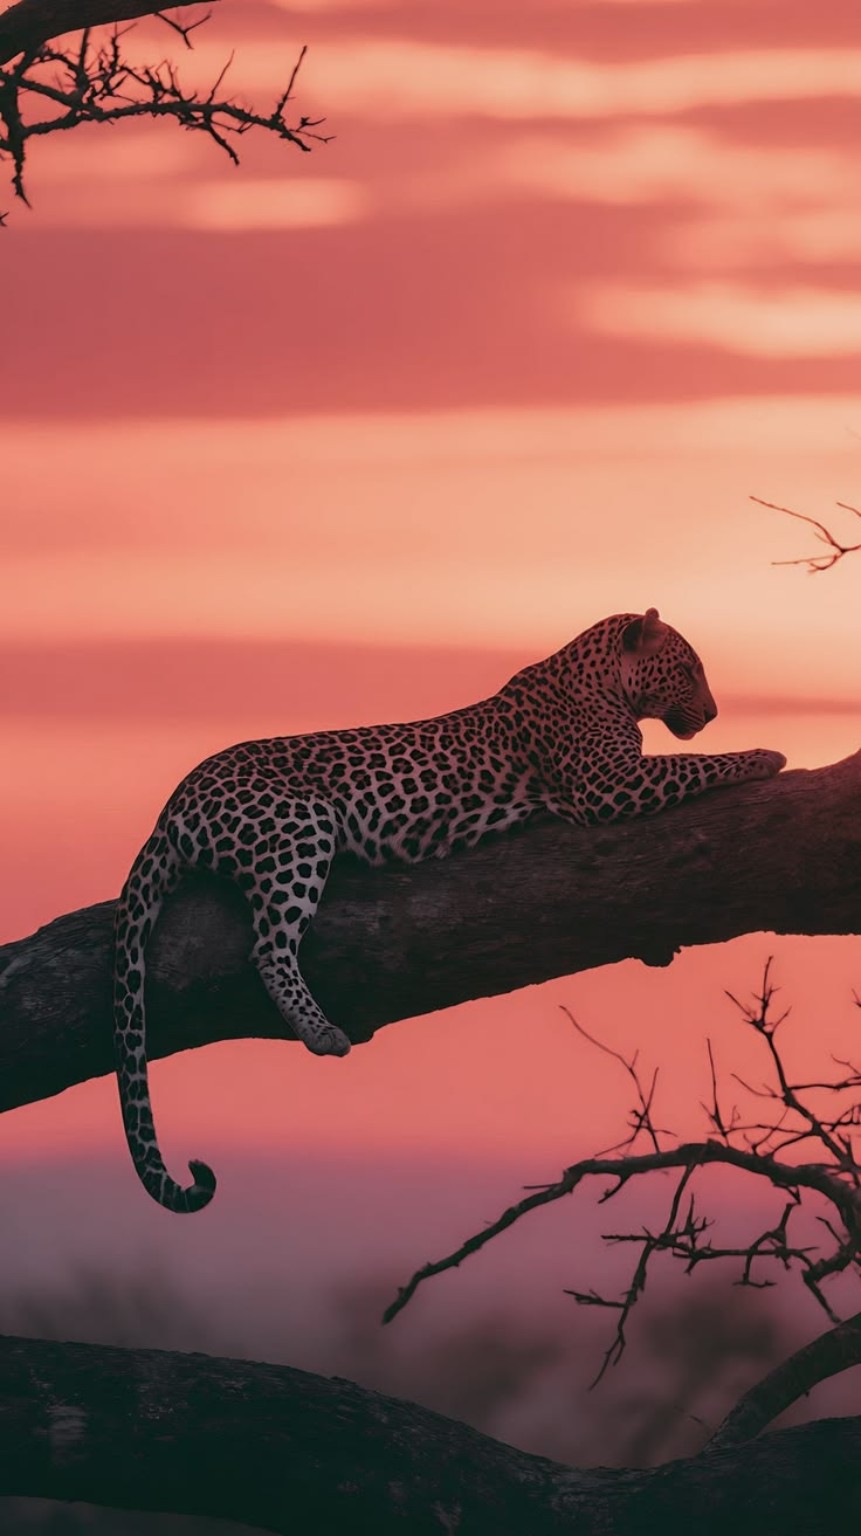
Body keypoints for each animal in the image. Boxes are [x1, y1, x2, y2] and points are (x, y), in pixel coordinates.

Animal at [113, 607, 785, 1214]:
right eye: (689, 669)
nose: (714, 712)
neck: (598, 679)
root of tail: (173, 800)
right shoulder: (608, 784)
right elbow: (691, 763)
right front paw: (766, 755)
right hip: (298, 828)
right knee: (269, 946)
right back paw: (322, 1032)